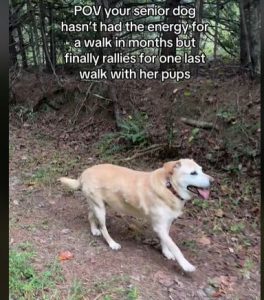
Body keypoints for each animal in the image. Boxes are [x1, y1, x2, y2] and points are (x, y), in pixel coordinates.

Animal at [58, 159, 213, 272]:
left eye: (202, 170)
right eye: (193, 173)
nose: (213, 181)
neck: (169, 187)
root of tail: (84, 172)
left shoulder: (166, 224)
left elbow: (166, 241)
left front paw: (166, 253)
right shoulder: (159, 227)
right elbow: (176, 247)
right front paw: (186, 265)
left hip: (98, 204)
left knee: (90, 215)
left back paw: (94, 230)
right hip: (101, 209)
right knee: (104, 228)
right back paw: (112, 243)